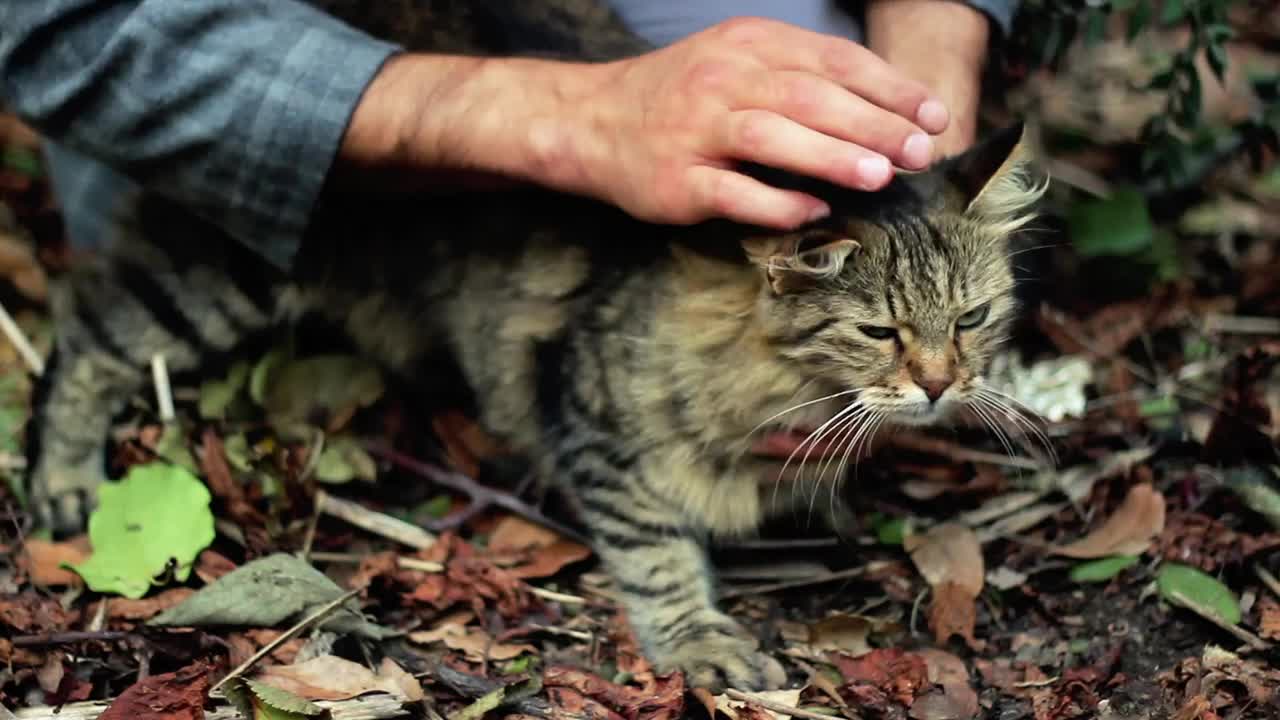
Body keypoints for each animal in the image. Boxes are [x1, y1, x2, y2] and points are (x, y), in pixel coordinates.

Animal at [24, 0, 1044, 691]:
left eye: (971, 320)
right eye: (879, 332)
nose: (941, 386)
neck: (769, 368)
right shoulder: (593, 421)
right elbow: (657, 553)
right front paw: (702, 644)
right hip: (225, 266)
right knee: (89, 330)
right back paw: (65, 483)